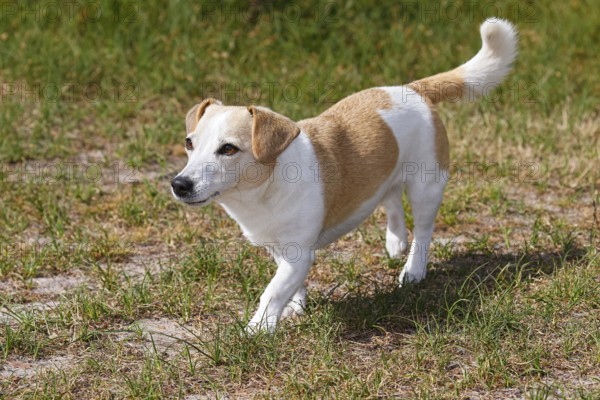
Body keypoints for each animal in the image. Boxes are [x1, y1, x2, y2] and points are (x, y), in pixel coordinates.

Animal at [171, 18, 516, 332]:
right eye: (189, 143)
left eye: (228, 149)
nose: (179, 185)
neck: (265, 189)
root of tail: (412, 89)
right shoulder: (279, 249)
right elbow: (289, 284)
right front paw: (295, 306)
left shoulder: (298, 254)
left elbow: (272, 291)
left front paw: (258, 330)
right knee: (391, 198)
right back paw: (395, 241)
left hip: (426, 186)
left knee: (423, 230)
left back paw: (413, 270)